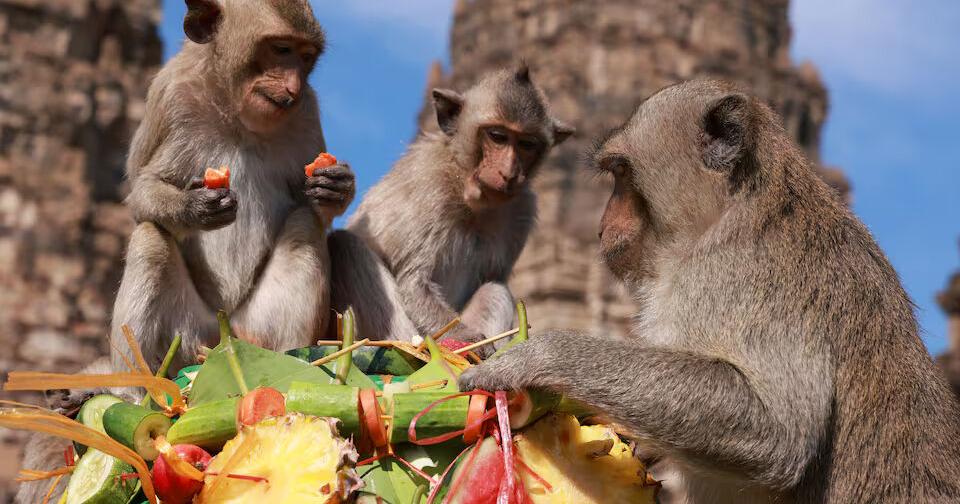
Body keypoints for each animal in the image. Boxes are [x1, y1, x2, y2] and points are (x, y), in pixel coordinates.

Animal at [17, 2, 353, 501]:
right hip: (185, 336)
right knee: (150, 239)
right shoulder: (171, 97)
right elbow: (142, 193)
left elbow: (312, 207)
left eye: (305, 57)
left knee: (302, 226)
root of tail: (221, 336)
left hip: (255, 327)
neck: (235, 113)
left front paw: (336, 187)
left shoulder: (306, 112)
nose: (292, 85)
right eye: (280, 49)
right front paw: (192, 207)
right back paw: (133, 395)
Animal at [329, 65, 573, 351]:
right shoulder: (429, 184)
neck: (468, 191)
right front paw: (468, 338)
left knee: (495, 289)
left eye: (527, 144)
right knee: (347, 246)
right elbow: (414, 284)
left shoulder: (521, 210)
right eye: (498, 137)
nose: (509, 173)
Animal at [459, 80, 960, 502]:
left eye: (621, 173)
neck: (731, 211)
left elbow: (780, 431)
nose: (602, 225)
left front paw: (537, 357)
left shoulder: (733, 275)